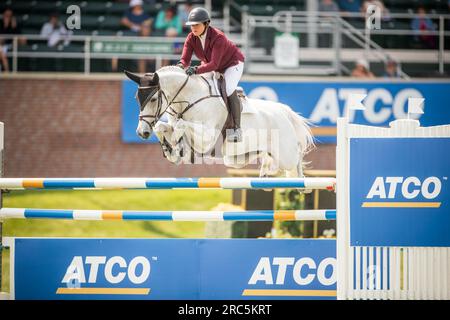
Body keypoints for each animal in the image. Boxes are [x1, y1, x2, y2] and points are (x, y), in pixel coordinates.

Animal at [124, 67, 312, 178]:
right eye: (136, 98)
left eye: (153, 99)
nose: (141, 132)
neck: (189, 99)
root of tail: (284, 111)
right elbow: (161, 127)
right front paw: (171, 150)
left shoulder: (207, 137)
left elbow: (180, 126)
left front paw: (178, 147)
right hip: (234, 158)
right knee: (267, 159)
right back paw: (265, 172)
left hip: (285, 154)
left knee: (296, 156)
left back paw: (302, 182)